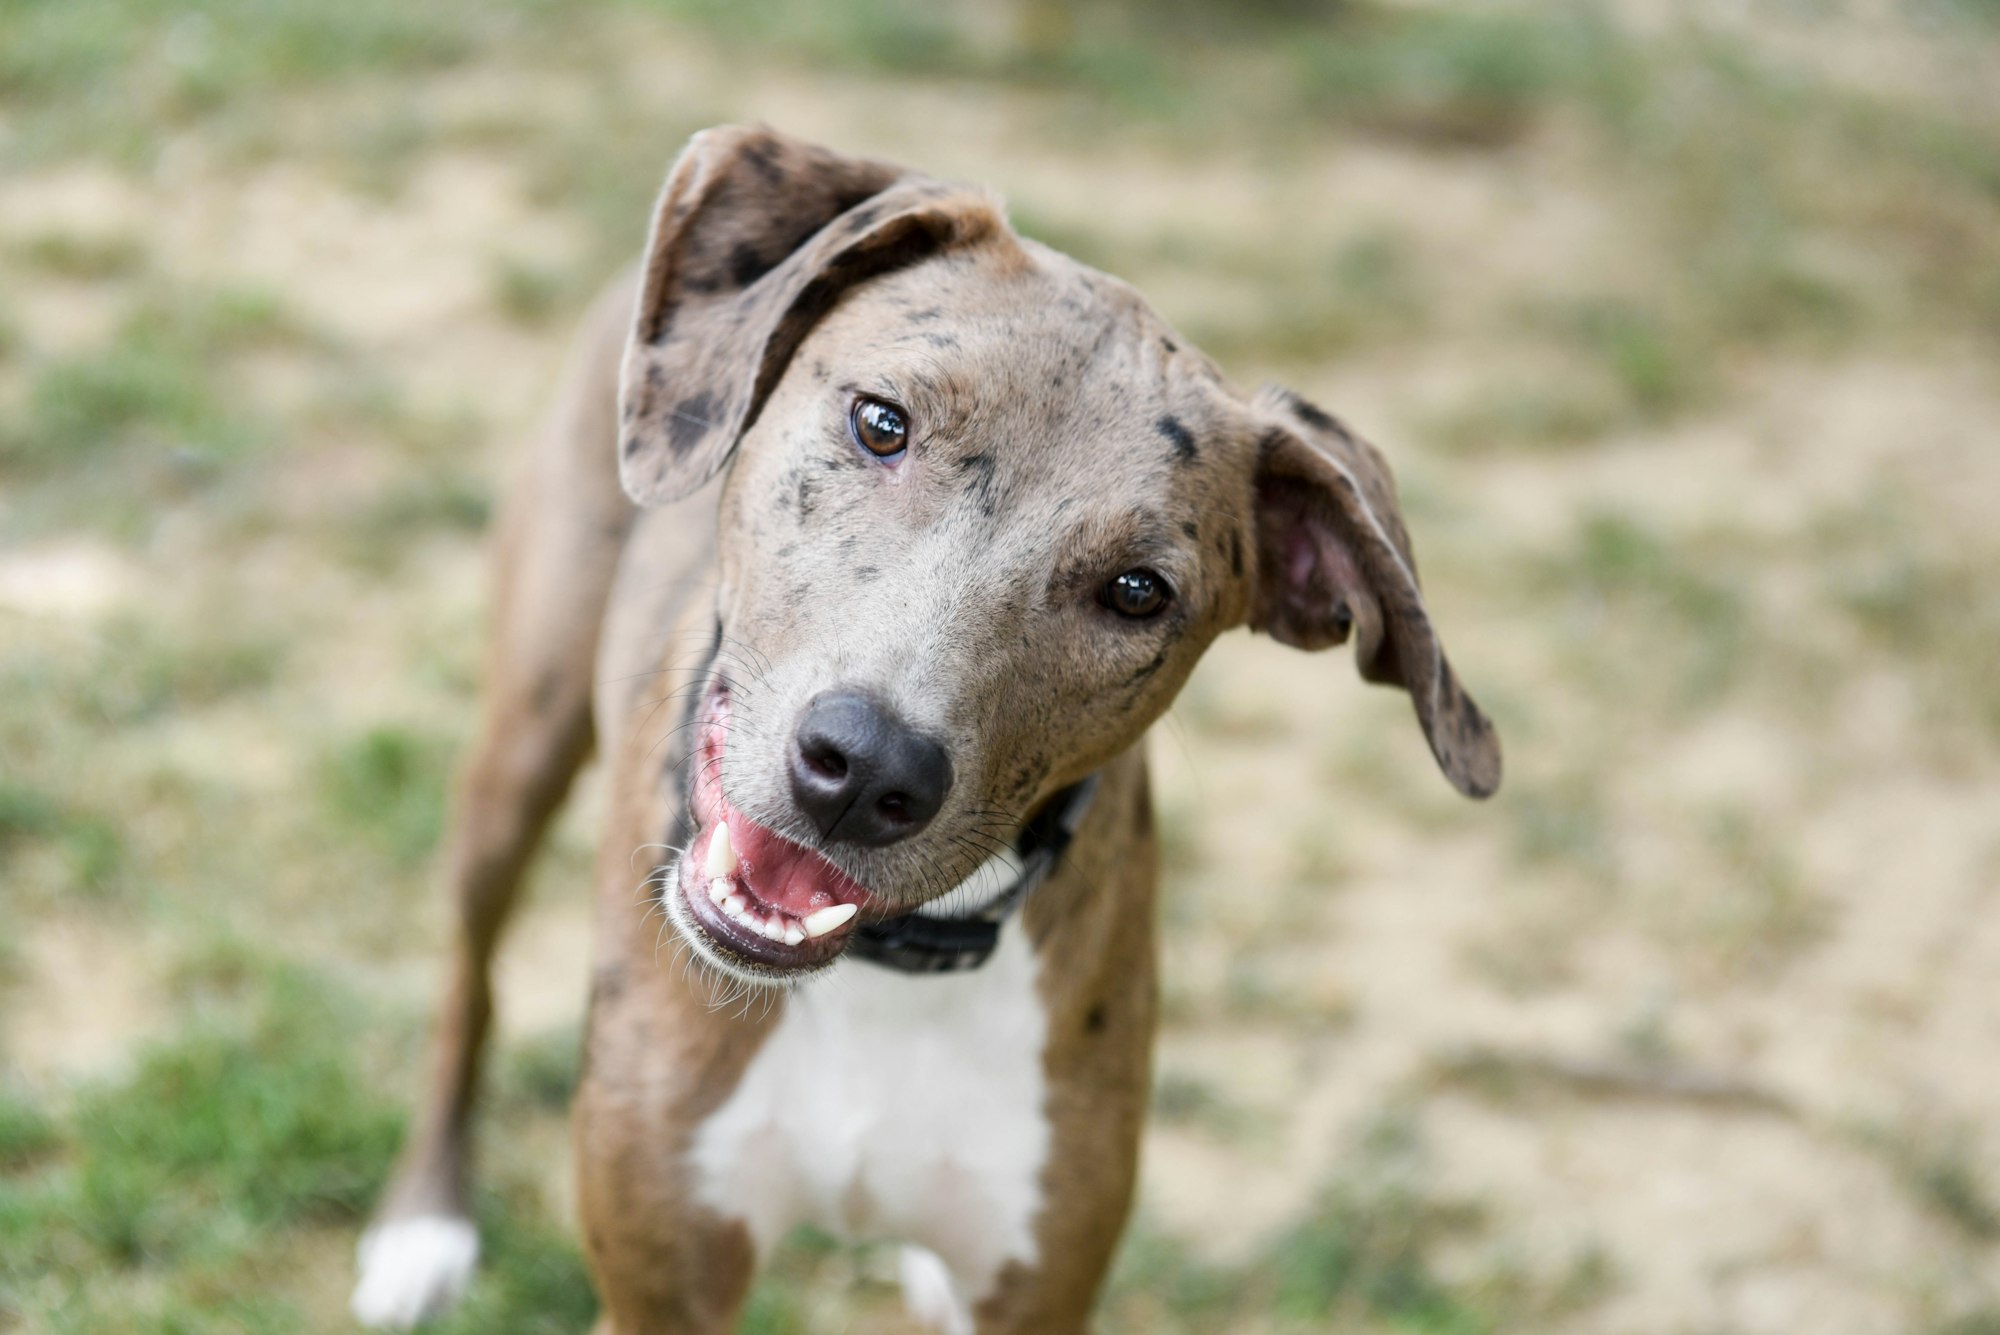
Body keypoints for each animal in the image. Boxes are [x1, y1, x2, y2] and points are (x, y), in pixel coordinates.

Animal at [348, 127, 1504, 1335]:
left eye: (1138, 591)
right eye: (880, 422)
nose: (864, 770)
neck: (883, 971)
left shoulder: (1037, 1285)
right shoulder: (660, 1282)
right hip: (519, 744)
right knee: (469, 976)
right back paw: (422, 1223)